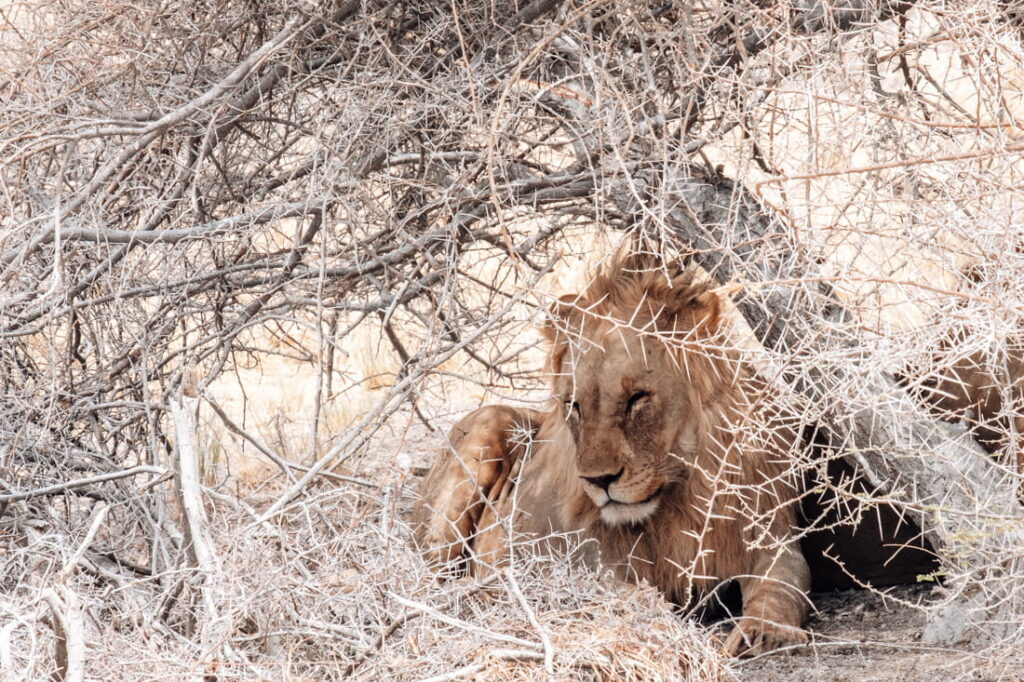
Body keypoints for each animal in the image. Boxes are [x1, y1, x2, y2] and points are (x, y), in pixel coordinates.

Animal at [412, 254, 811, 657]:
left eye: (637, 398)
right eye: (573, 406)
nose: (598, 480)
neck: (678, 499)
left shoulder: (768, 539)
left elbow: (784, 585)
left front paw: (765, 632)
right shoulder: (569, 561)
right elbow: (634, 596)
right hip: (487, 427)